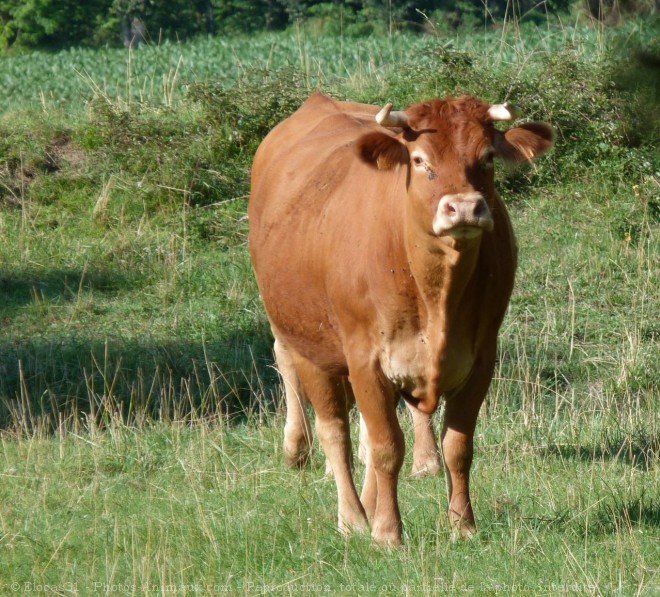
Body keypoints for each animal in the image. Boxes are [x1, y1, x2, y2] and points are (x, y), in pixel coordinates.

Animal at [248, 91, 552, 544]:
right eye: (420, 160)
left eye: (487, 158)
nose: (464, 208)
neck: (435, 292)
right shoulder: (366, 362)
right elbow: (387, 447)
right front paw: (388, 533)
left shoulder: (480, 360)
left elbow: (457, 446)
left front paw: (463, 525)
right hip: (306, 341)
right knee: (333, 430)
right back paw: (352, 516)